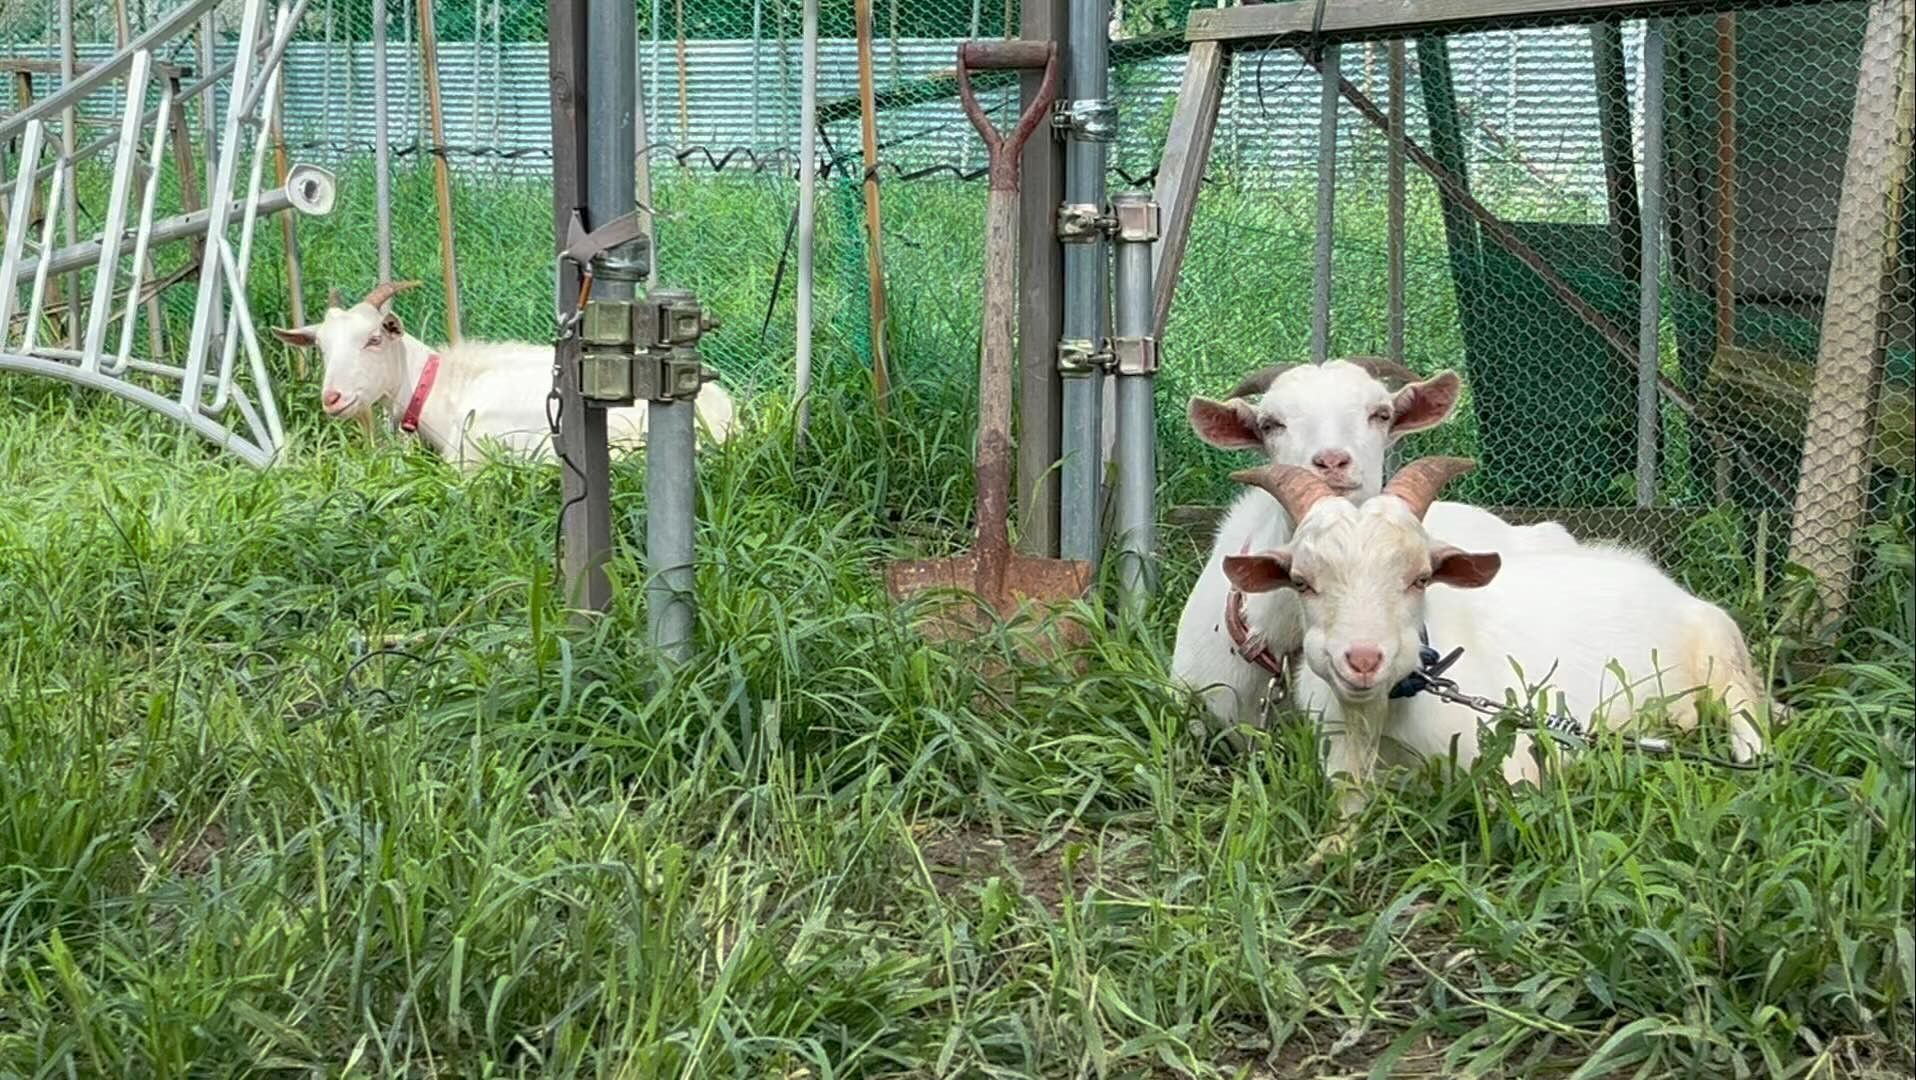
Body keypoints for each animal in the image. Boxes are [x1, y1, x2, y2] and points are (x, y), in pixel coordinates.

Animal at [1218, 455, 1770, 819]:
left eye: (1421, 578)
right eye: (1302, 582)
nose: (1363, 659)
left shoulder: (1511, 761)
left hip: (1718, 646)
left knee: (1745, 708)